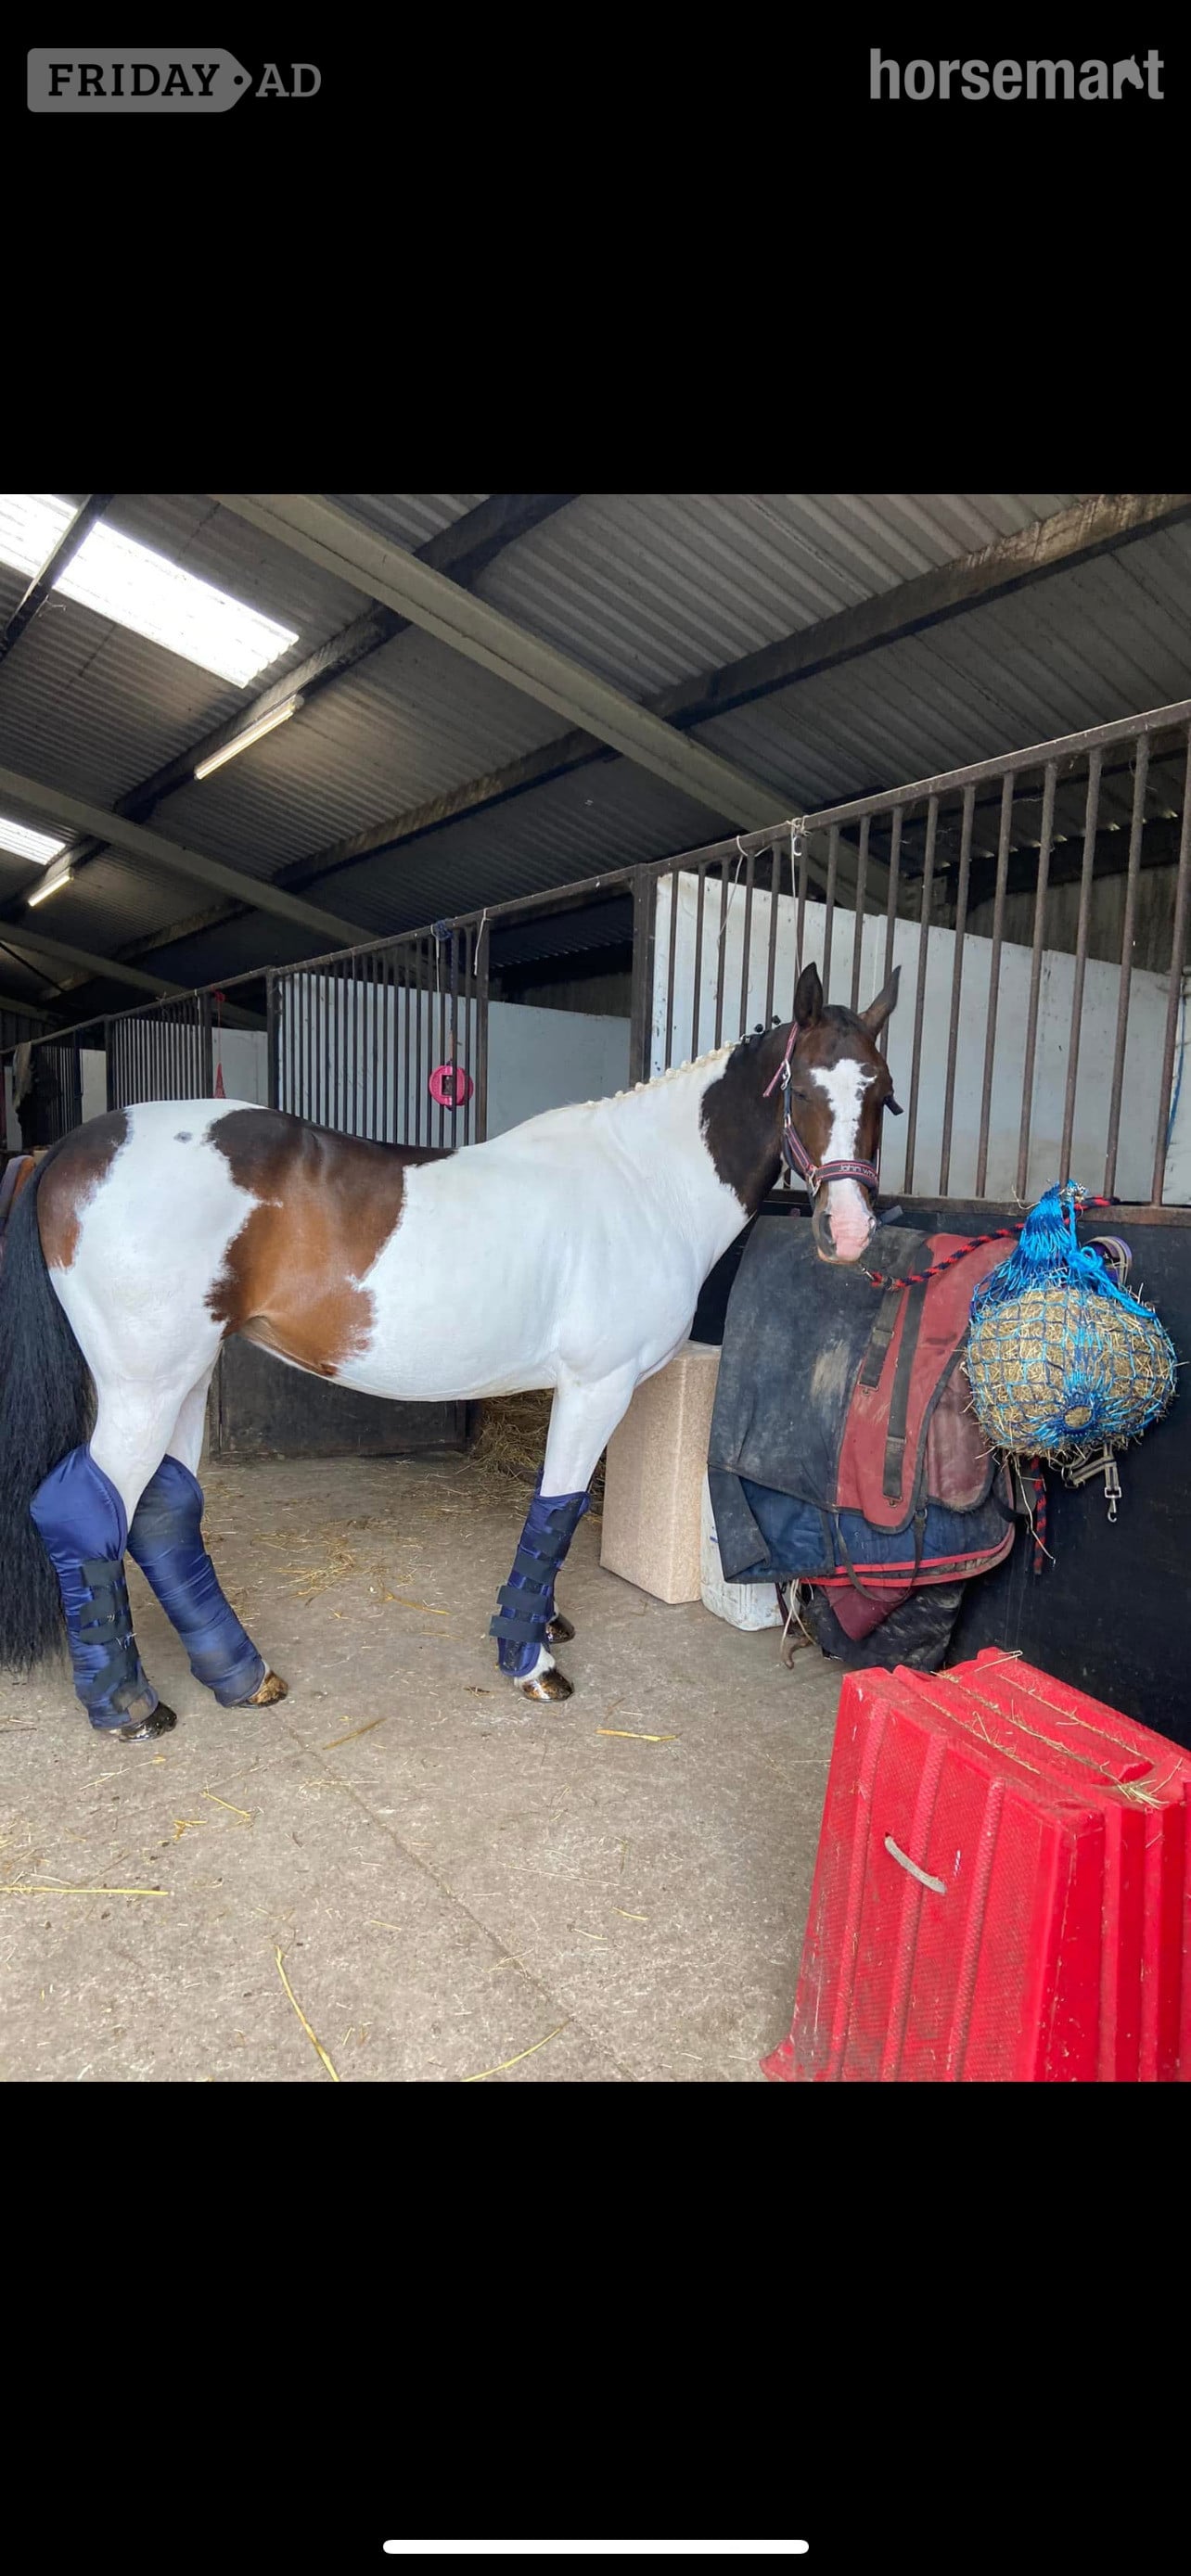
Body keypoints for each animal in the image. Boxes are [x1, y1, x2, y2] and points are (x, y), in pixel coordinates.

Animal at [0, 960, 899, 1743]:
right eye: (804, 1089)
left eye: (884, 1096)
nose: (850, 1233)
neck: (645, 1186)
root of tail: (71, 1148)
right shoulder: (597, 1385)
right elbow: (558, 1508)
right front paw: (530, 1661)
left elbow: (557, 1510)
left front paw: (543, 1626)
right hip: (144, 1386)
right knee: (85, 1510)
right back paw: (129, 1708)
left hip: (185, 1380)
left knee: (163, 1514)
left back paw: (239, 1676)